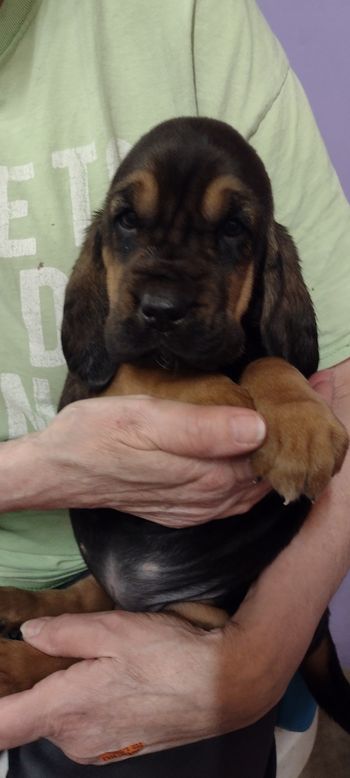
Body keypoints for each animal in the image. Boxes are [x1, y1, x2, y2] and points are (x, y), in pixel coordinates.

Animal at [0, 118, 350, 732]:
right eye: (126, 221)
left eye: (234, 228)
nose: (162, 309)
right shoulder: (91, 383)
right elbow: (146, 366)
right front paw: (221, 394)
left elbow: (269, 361)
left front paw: (301, 426)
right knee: (72, 626)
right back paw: (14, 619)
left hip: (190, 616)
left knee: (77, 628)